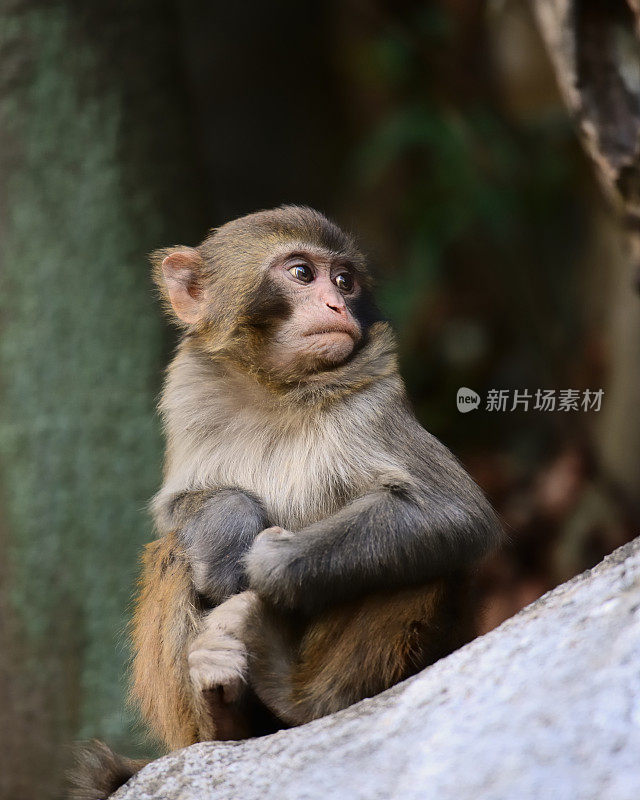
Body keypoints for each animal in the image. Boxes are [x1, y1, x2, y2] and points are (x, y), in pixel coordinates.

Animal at [69, 208, 500, 800]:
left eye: (344, 280)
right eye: (301, 273)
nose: (336, 304)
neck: (276, 386)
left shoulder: (375, 397)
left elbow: (452, 513)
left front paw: (271, 562)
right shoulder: (189, 388)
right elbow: (175, 508)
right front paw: (229, 528)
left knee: (422, 556)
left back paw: (300, 696)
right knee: (174, 551)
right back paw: (224, 720)